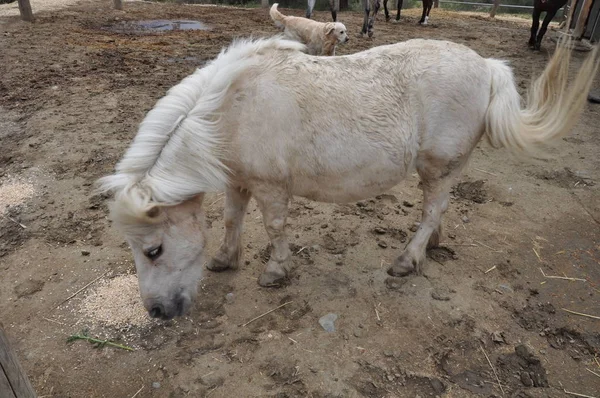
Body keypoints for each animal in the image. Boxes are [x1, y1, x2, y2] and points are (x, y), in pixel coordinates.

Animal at [96, 35, 596, 318]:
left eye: (153, 250)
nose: (157, 312)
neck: (229, 111)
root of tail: (487, 66)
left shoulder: (271, 187)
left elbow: (274, 226)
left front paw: (276, 270)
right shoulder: (239, 181)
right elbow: (232, 219)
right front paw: (223, 258)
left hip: (438, 165)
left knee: (432, 208)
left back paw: (407, 260)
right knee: (439, 209)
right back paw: (431, 248)